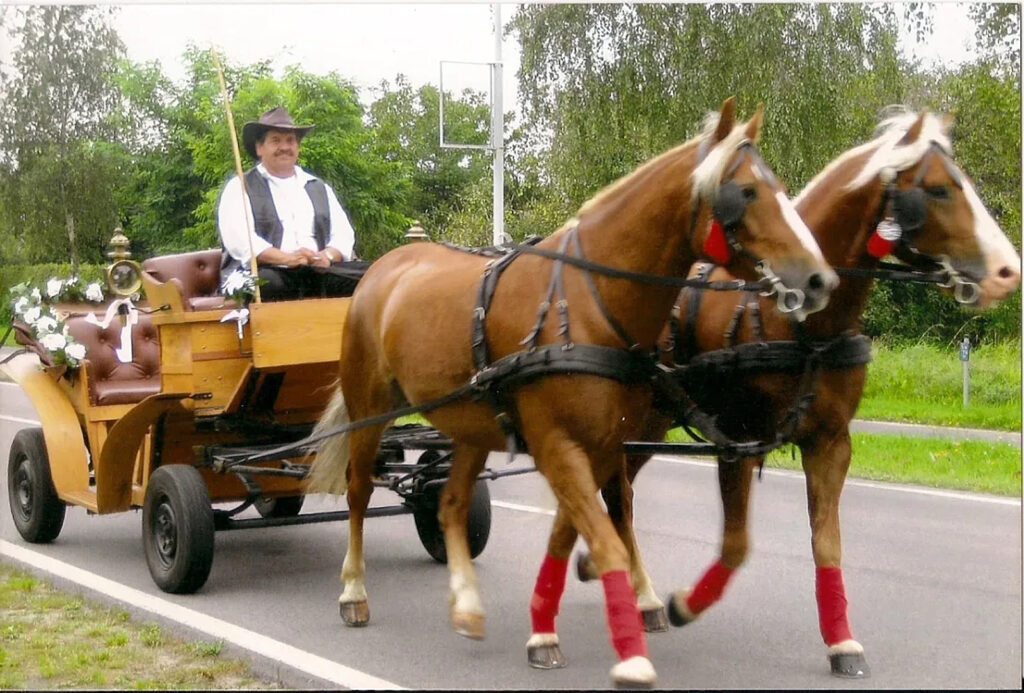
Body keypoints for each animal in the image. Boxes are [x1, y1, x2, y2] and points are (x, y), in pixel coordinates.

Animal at [307, 97, 835, 687]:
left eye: (779, 185)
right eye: (744, 191)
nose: (817, 279)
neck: (588, 303)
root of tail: (384, 266)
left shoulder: (601, 445)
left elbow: (575, 532)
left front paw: (545, 628)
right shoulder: (558, 445)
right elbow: (605, 540)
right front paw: (629, 651)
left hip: (471, 425)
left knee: (451, 502)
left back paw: (466, 604)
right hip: (370, 407)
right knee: (357, 492)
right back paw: (354, 592)